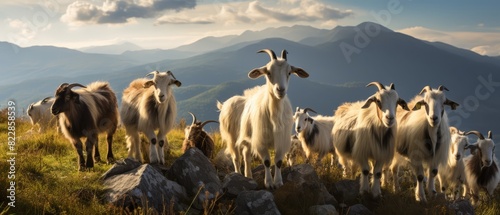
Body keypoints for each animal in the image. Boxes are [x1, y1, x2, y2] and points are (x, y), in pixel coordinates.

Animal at [234, 48, 308, 188]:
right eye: (268, 72)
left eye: (289, 72)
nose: (280, 90)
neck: (274, 115)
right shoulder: (260, 140)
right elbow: (267, 161)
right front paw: (268, 183)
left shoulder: (281, 140)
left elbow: (278, 162)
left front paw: (278, 182)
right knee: (243, 156)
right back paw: (245, 175)